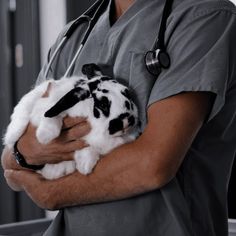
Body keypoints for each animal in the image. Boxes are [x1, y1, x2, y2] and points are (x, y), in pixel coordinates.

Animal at [3, 63, 139, 180]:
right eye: (102, 104)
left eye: (127, 93)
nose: (126, 121)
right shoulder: (48, 104)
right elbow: (52, 115)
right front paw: (45, 137)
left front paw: (85, 165)